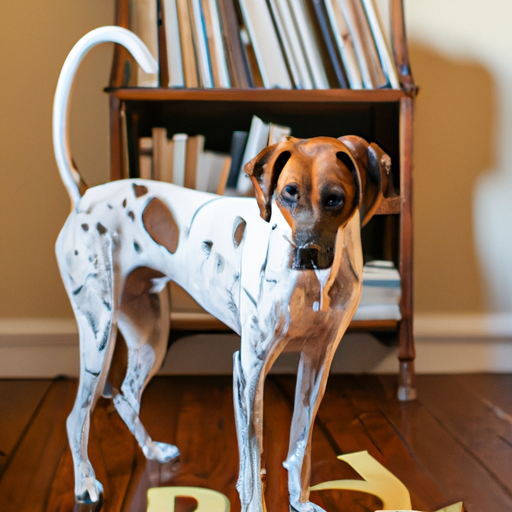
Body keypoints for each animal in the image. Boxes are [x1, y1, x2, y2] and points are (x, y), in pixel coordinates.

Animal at [54, 29, 390, 512]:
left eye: (335, 199)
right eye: (288, 193)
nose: (305, 254)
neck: (316, 284)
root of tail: (86, 196)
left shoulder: (317, 363)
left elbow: (300, 447)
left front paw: (300, 500)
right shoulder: (247, 370)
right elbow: (252, 466)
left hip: (151, 336)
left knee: (127, 398)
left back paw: (153, 451)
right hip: (98, 335)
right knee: (78, 414)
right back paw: (85, 482)